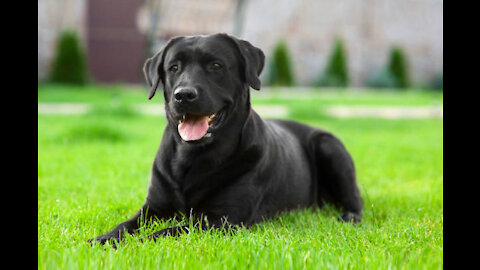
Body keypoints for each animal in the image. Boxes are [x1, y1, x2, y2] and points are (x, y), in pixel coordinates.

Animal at [92, 33, 362, 245]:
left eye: (216, 65)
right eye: (173, 68)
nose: (183, 95)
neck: (192, 157)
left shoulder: (223, 219)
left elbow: (168, 231)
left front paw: (139, 243)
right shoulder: (153, 207)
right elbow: (126, 224)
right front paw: (105, 238)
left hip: (330, 147)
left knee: (356, 200)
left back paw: (349, 217)